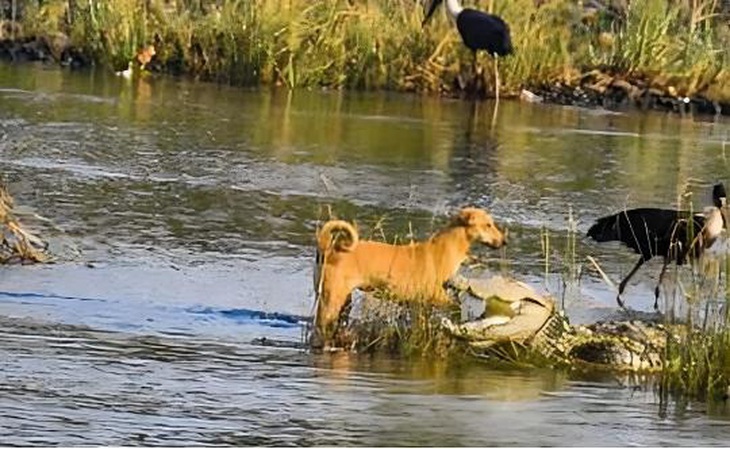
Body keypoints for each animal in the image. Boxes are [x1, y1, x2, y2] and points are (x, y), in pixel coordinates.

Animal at [312, 206, 506, 346]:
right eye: (488, 225)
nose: (504, 242)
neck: (444, 250)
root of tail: (329, 249)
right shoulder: (436, 296)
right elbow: (456, 306)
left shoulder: (420, 305)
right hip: (332, 299)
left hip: (343, 300)